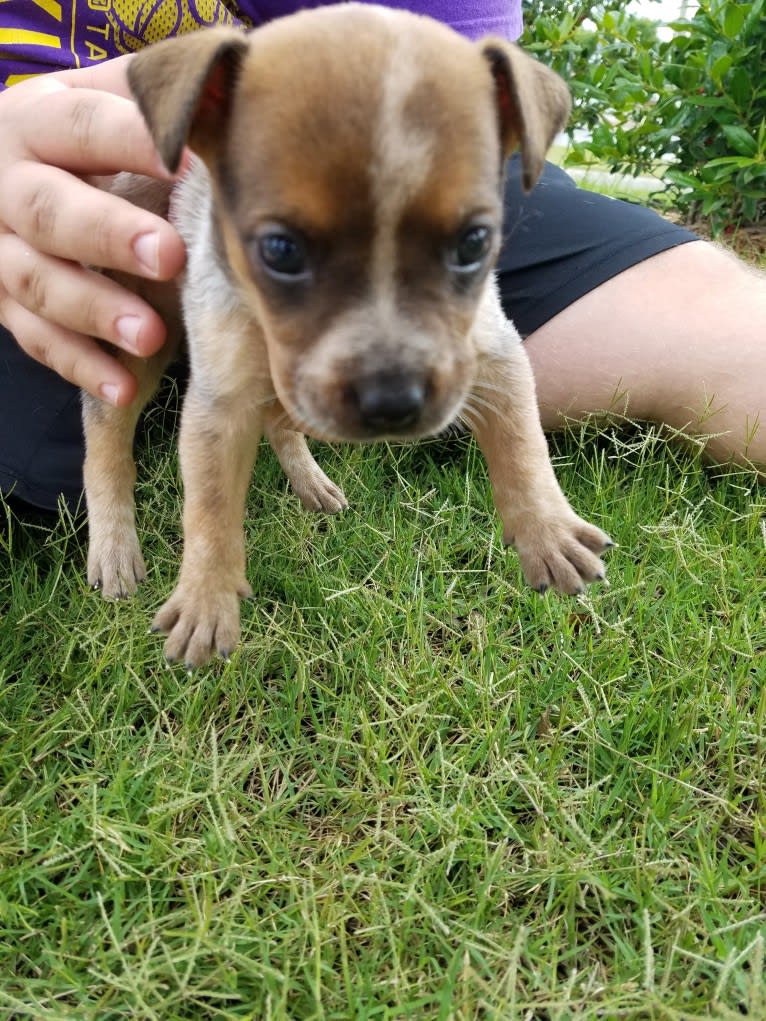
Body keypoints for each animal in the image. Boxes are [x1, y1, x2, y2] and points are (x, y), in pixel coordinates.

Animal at [83, 3, 612, 669]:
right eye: (280, 250)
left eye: (474, 243)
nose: (392, 404)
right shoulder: (219, 403)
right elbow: (208, 508)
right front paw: (205, 596)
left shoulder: (492, 353)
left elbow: (524, 443)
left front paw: (547, 530)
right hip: (139, 334)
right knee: (105, 433)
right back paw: (114, 546)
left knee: (281, 425)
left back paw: (311, 483)